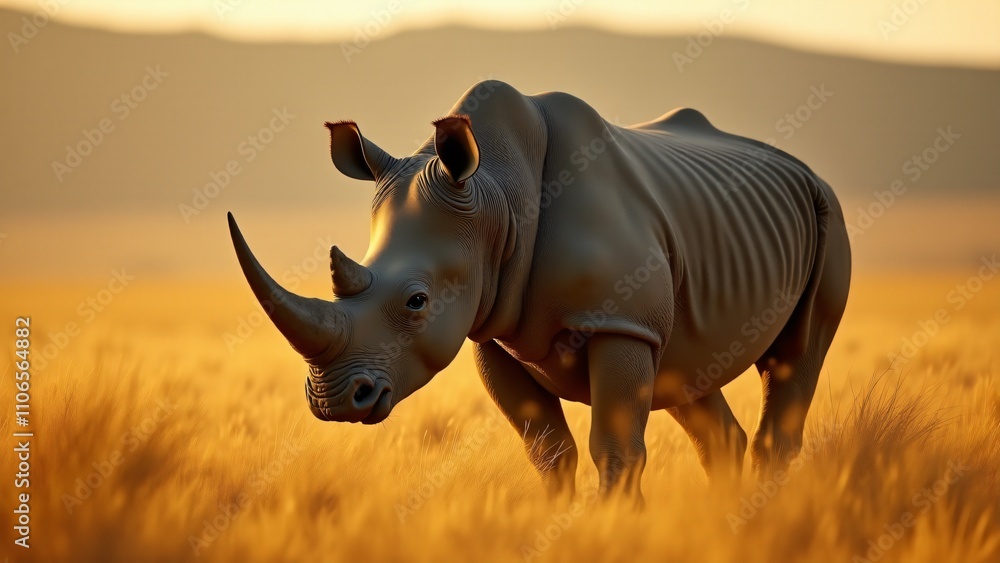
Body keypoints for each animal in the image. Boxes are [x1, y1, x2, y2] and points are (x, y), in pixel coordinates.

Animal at [228, 80, 851, 501]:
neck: (497, 194)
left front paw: (613, 531)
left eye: (417, 302)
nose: (333, 401)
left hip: (827, 213)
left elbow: (616, 447)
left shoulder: (619, 322)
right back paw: (724, 518)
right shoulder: (491, 333)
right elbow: (549, 452)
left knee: (797, 356)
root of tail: (803, 168)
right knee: (689, 372)